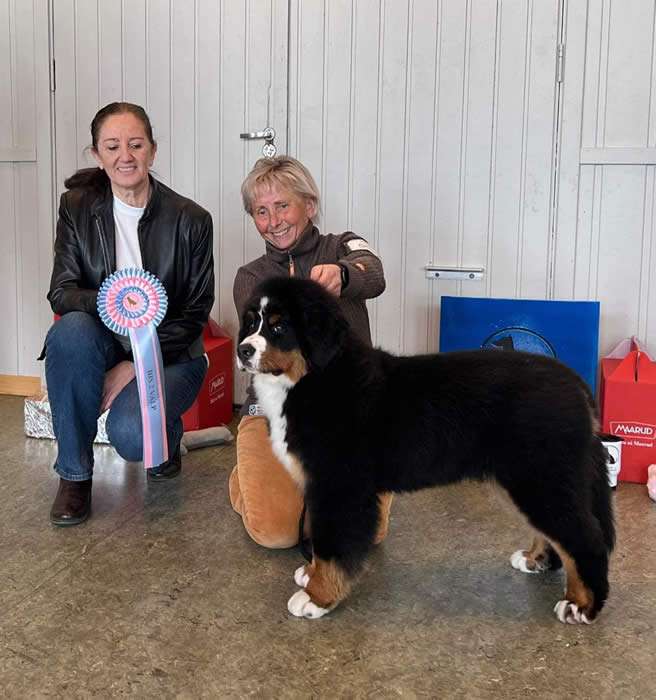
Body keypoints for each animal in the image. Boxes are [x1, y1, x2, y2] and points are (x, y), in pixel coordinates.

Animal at [237, 278, 616, 624]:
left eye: (279, 327)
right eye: (251, 322)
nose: (243, 351)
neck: (315, 378)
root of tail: (575, 381)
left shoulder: (340, 487)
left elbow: (332, 544)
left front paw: (317, 596)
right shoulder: (323, 486)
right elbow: (320, 538)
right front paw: (310, 573)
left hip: (541, 477)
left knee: (585, 537)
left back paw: (582, 604)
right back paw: (536, 560)